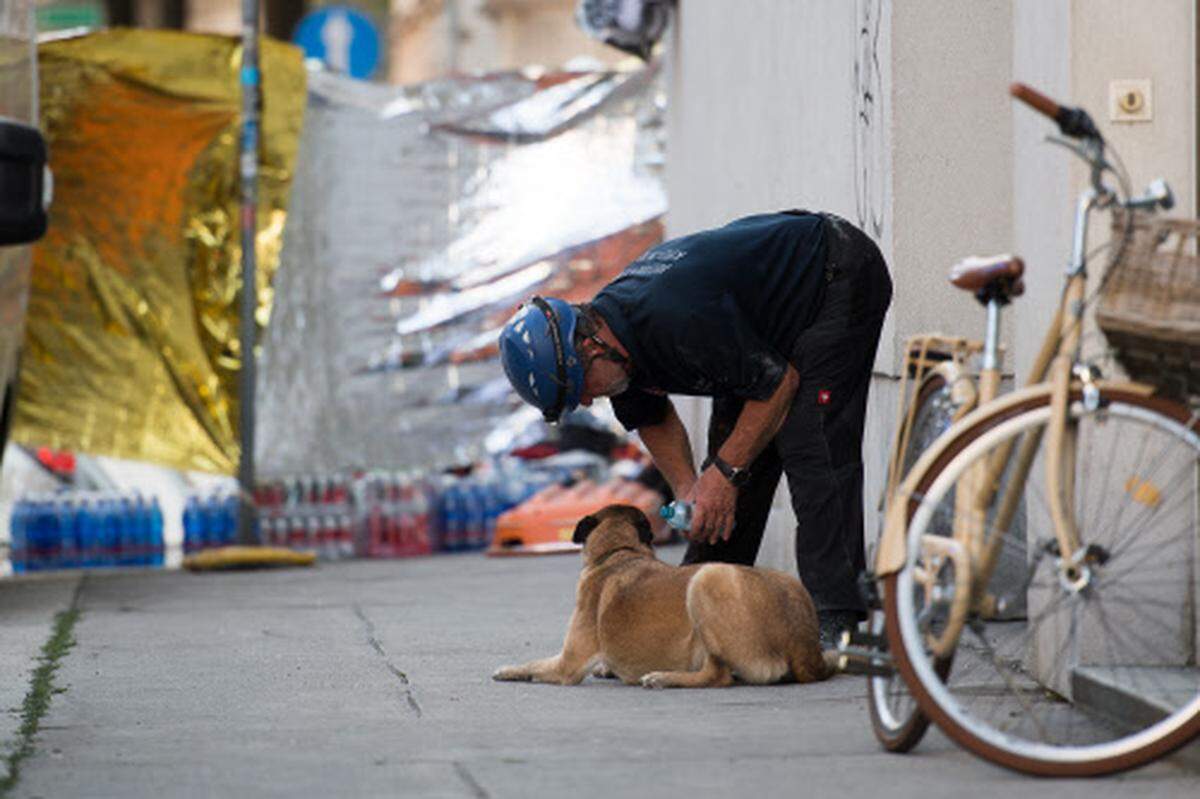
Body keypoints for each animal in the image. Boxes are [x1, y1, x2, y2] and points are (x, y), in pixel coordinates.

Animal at [487, 503, 835, 686]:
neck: (620, 552)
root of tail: (803, 646)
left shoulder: (567, 664)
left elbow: (536, 664)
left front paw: (510, 670)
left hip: (707, 579)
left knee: (718, 675)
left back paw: (665, 677)